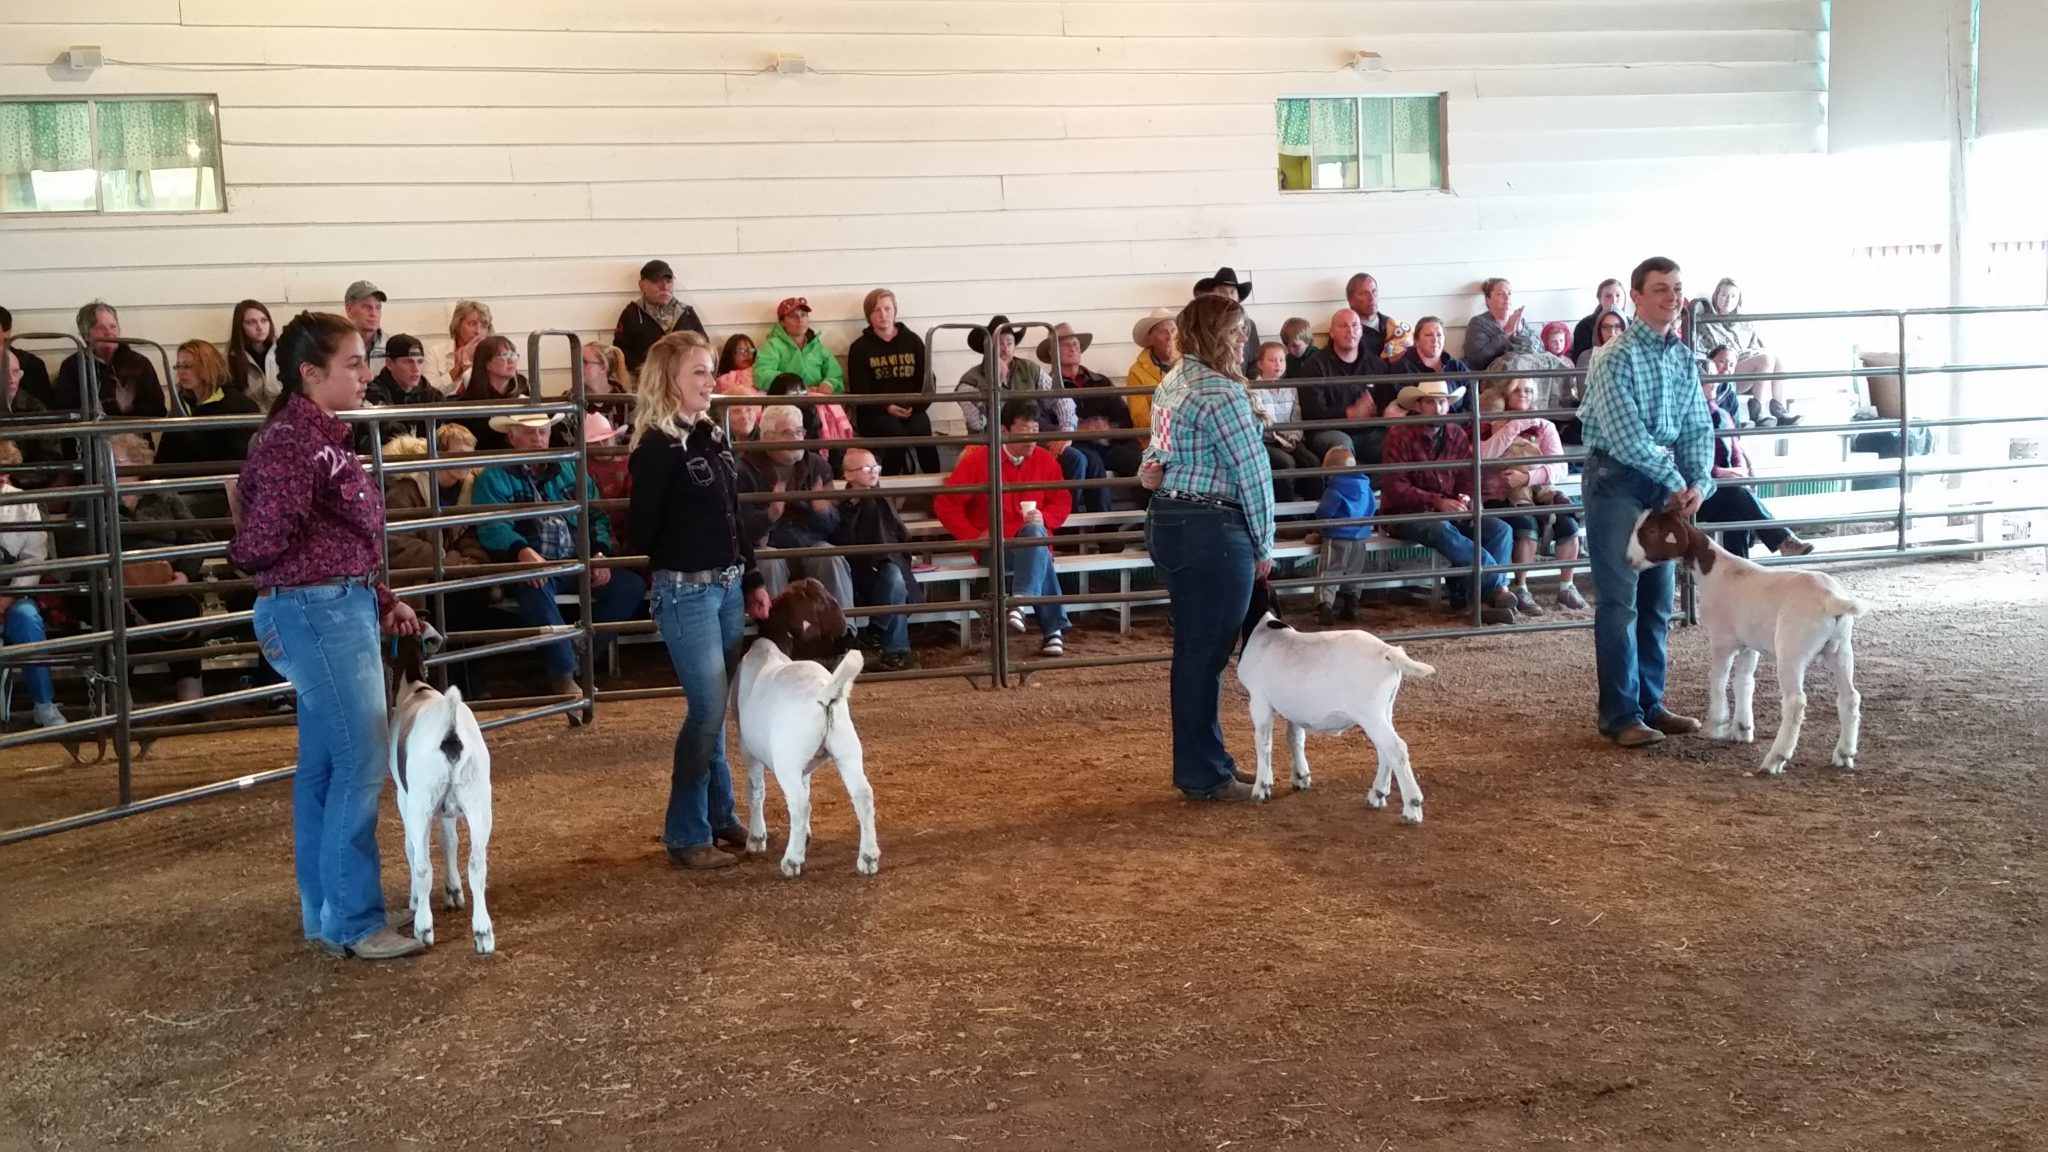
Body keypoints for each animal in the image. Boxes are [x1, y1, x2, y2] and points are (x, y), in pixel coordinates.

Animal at [385, 631, 493, 947]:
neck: (415, 687)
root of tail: (451, 730)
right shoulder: (448, 809)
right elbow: (450, 841)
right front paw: (453, 892)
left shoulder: (404, 797)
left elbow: (410, 847)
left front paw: (414, 900)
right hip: (479, 800)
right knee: (477, 865)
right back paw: (483, 933)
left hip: (421, 802)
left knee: (422, 865)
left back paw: (423, 928)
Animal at [737, 635, 880, 877]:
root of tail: (823, 695)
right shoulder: (806, 763)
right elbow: (806, 786)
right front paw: (806, 835)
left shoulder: (749, 751)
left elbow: (756, 790)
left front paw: (756, 839)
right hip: (847, 749)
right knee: (863, 795)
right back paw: (868, 858)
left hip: (787, 761)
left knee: (800, 805)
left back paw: (792, 861)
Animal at [1228, 582, 1441, 815]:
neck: (1264, 630)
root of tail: (1389, 652)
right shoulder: (1294, 706)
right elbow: (1295, 737)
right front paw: (1301, 777)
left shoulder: (1259, 700)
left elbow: (1263, 742)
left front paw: (1261, 788)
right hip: (1385, 709)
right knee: (1385, 749)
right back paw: (1377, 794)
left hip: (1370, 712)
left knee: (1396, 748)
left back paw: (1412, 806)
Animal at [1638, 508, 1867, 770]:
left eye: (1650, 531)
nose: (1629, 559)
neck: (1716, 570)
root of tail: (1831, 599)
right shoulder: (1749, 644)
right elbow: (1744, 681)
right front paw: (1742, 729)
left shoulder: (1722, 639)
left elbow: (1718, 679)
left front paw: (1717, 724)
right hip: (1840, 649)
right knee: (1850, 698)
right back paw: (1844, 753)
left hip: (1792, 651)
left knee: (1795, 702)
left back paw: (1775, 759)